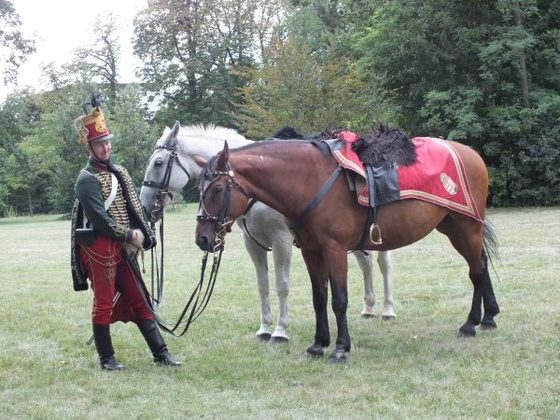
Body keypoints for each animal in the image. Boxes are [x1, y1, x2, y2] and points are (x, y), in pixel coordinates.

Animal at [139, 120, 394, 342]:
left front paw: (280, 331)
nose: (143, 205)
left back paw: (388, 309)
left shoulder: (282, 241)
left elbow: (282, 285)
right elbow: (263, 285)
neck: (256, 189)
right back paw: (368, 307)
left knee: (383, 266)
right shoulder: (253, 244)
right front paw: (264, 329)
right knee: (366, 265)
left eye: (158, 163)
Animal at [194, 130, 498, 362]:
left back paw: (471, 323)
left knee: (476, 270)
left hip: (467, 226)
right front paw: (318, 344)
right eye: (199, 190)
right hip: (452, 227)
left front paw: (340, 348)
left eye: (217, 189)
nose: (202, 239)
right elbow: (319, 298)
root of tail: (469, 153)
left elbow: (339, 300)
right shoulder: (311, 251)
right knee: (481, 265)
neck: (311, 180)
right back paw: (488, 318)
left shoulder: (334, 250)